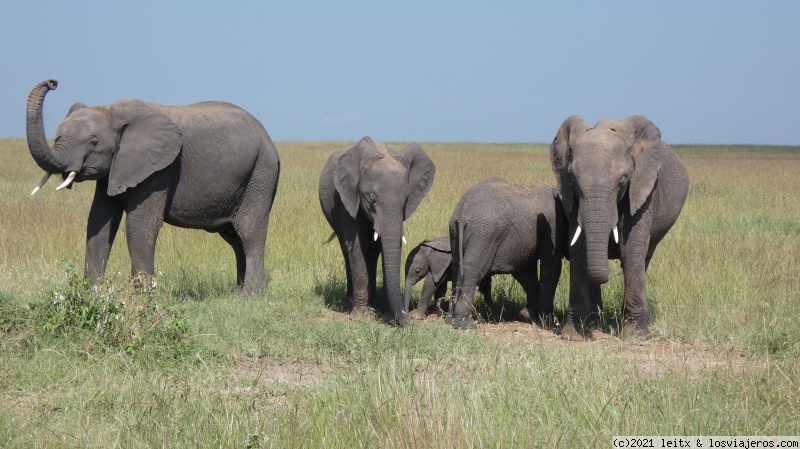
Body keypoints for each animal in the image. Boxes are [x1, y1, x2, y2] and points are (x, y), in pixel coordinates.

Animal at [24, 79, 282, 292]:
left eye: (94, 142)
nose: (53, 82)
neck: (111, 111)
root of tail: (270, 142)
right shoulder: (115, 168)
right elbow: (99, 220)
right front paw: (90, 294)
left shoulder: (161, 169)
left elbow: (139, 224)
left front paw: (142, 298)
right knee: (233, 236)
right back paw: (237, 293)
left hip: (260, 173)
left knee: (249, 232)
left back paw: (250, 296)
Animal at [318, 136, 434, 326]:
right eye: (372, 199)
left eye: (405, 201)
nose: (408, 321)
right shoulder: (347, 199)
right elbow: (357, 247)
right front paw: (360, 316)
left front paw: (387, 315)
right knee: (348, 250)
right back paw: (351, 303)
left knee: (373, 253)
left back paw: (373, 303)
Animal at [446, 178, 564, 328]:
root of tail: (462, 215)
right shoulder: (553, 225)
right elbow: (551, 267)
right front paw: (550, 322)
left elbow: (525, 273)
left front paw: (527, 316)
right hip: (485, 234)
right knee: (473, 271)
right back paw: (466, 325)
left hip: (456, 232)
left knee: (456, 267)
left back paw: (450, 319)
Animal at [552, 114, 688, 338]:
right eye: (573, 179)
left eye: (623, 180)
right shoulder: (569, 196)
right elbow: (579, 250)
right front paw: (574, 335)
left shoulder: (645, 191)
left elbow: (631, 250)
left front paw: (636, 337)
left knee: (642, 259)